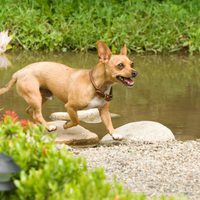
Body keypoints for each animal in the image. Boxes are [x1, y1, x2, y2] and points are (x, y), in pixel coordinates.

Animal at [0, 41, 137, 140]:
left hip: (42, 97)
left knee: (31, 111)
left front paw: (114, 133)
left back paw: (41, 125)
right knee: (37, 114)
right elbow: (76, 120)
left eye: (132, 64)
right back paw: (49, 126)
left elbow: (108, 123)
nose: (135, 72)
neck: (95, 85)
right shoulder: (70, 106)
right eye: (120, 65)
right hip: (35, 97)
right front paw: (66, 124)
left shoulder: (103, 110)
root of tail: (18, 73)